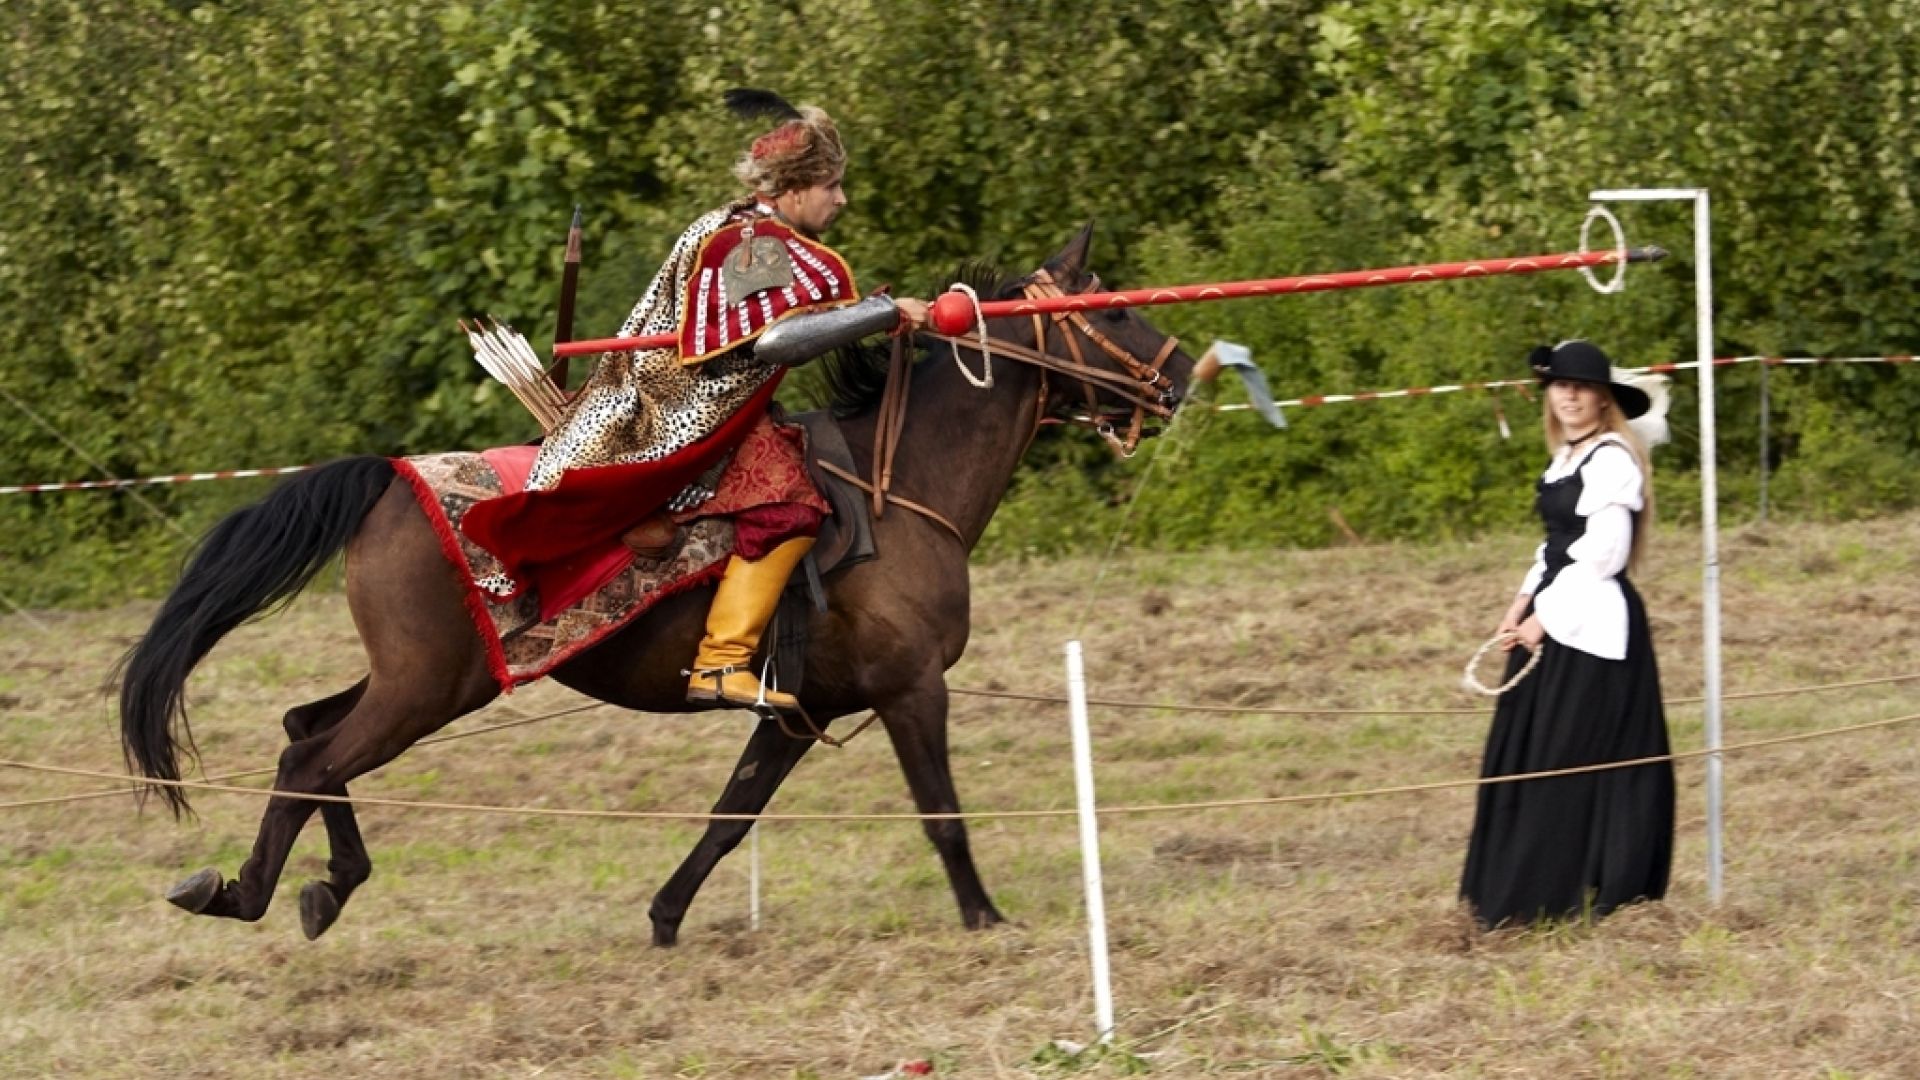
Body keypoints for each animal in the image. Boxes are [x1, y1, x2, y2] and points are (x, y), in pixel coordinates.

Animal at [120, 222, 1190, 937]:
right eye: (1113, 309)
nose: (1179, 376)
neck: (901, 488)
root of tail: (389, 478)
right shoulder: (910, 689)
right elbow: (943, 815)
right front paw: (986, 919)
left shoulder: (798, 709)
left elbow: (729, 819)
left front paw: (667, 914)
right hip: (431, 686)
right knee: (314, 759)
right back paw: (243, 894)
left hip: (419, 678)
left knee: (306, 731)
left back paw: (315, 886)